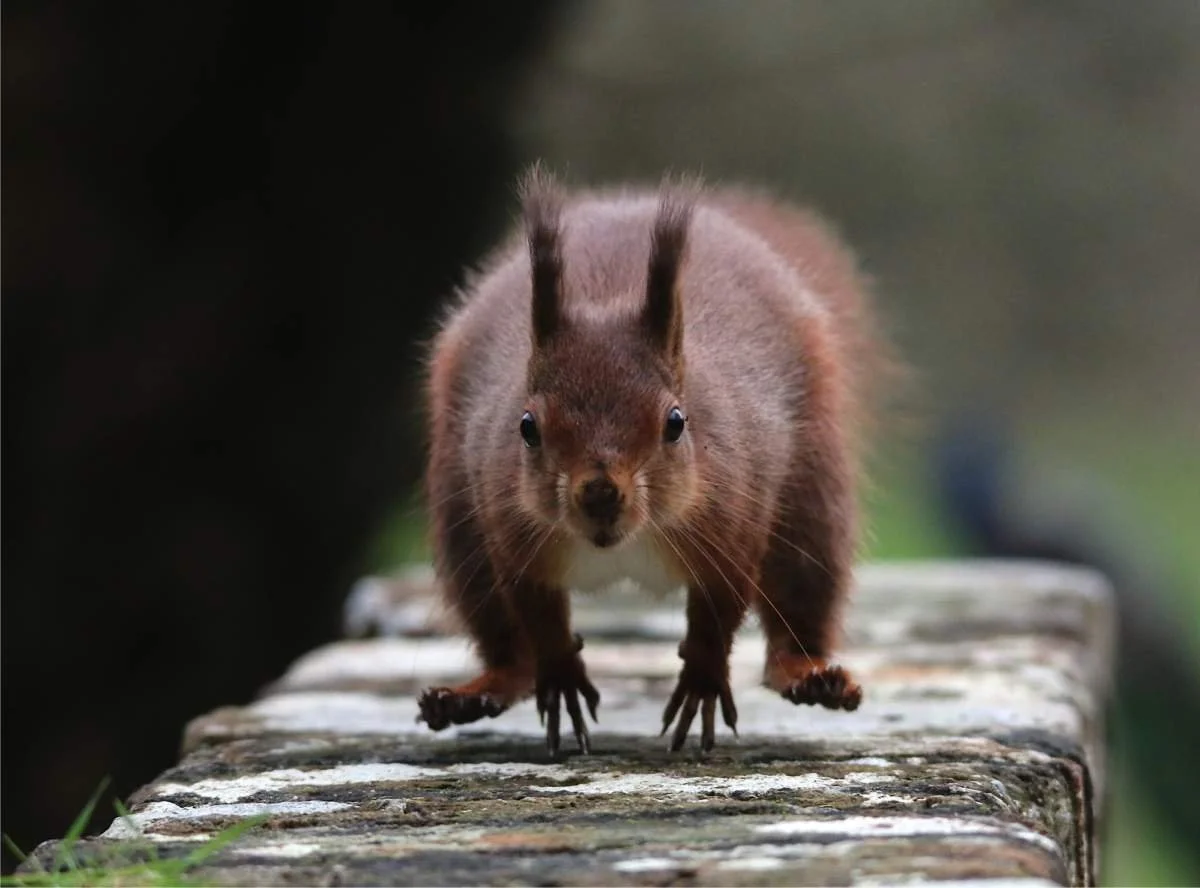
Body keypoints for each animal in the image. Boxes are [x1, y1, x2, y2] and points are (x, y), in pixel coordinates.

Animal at [417, 166, 885, 753]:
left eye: (676, 422)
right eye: (526, 427)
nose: (599, 493)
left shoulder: (733, 522)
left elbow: (718, 611)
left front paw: (702, 680)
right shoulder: (511, 532)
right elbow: (537, 612)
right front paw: (562, 674)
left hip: (813, 500)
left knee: (800, 603)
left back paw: (809, 675)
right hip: (462, 528)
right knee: (506, 643)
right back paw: (478, 692)